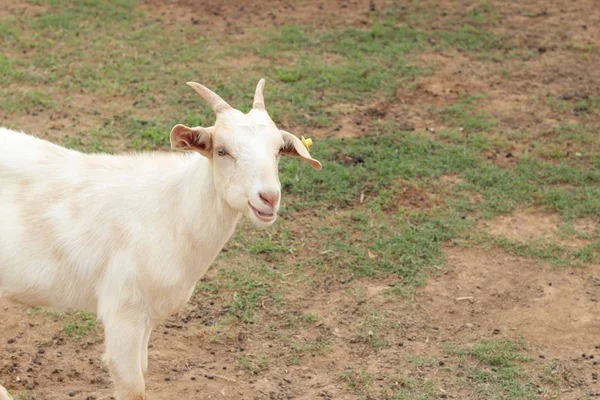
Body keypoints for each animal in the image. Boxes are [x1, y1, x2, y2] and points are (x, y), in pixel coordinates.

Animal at [0, 79, 324, 398]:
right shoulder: (123, 312)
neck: (172, 210)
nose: (268, 197)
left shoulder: (146, 319)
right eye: (222, 151)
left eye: (278, 150)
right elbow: (133, 386)